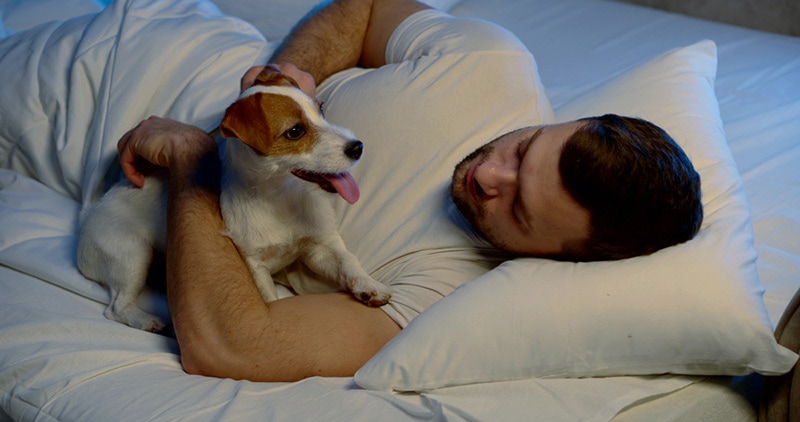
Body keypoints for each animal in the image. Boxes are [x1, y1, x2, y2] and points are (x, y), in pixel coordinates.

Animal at [79, 67, 392, 332]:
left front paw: (369, 285)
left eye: (321, 109)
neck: (280, 197)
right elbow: (271, 299)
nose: (357, 147)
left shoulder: (320, 246)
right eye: (295, 131)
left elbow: (347, 261)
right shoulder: (255, 266)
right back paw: (147, 321)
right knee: (116, 307)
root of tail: (89, 216)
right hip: (133, 254)